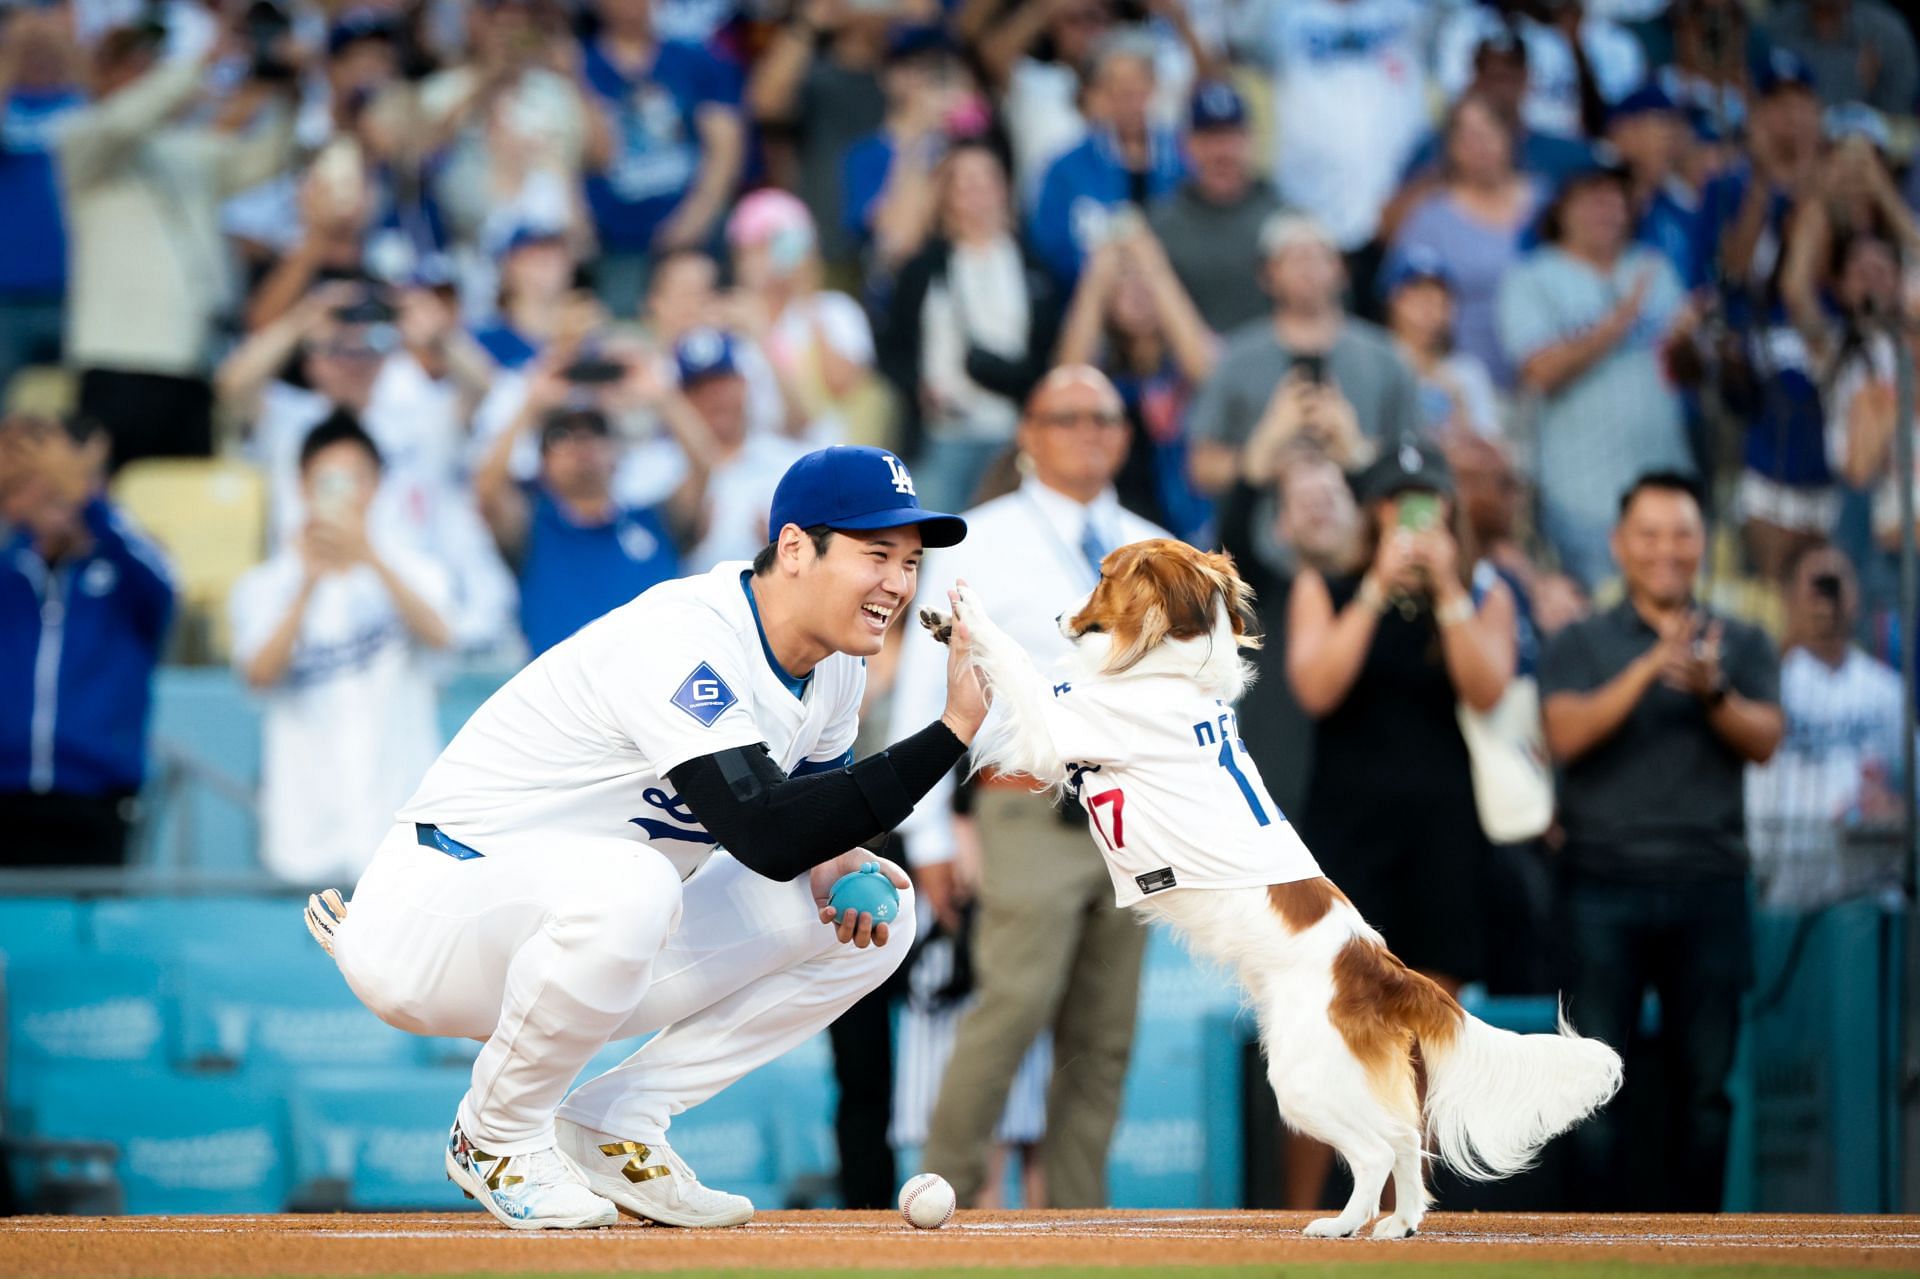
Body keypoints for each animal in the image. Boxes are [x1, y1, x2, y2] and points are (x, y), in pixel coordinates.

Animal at [921, 537, 1612, 1236]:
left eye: (1103, 577)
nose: (1061, 616)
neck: (1168, 670)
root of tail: (1384, 969)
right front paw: (947, 624)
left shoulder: (1056, 722)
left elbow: (1013, 657)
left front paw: (969, 612)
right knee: (1402, 1139)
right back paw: (1400, 1224)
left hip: (1302, 1077)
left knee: (1372, 1150)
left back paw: (1340, 1225)